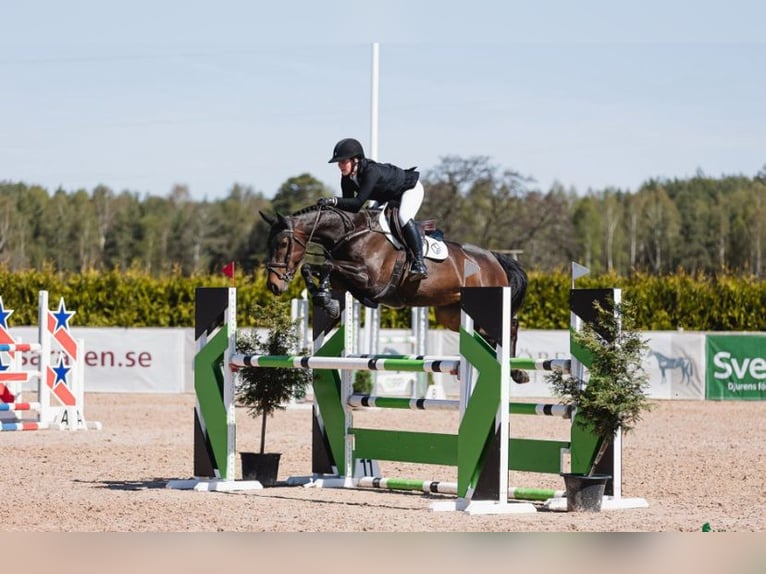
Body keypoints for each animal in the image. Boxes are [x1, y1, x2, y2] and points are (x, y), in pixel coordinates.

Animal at [259, 205, 528, 379]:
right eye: (269, 243)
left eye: (283, 243)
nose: (274, 285)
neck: (351, 233)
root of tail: (493, 258)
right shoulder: (346, 281)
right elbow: (312, 268)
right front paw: (325, 300)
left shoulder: (371, 281)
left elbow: (325, 265)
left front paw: (325, 298)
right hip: (450, 315)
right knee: (487, 335)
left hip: (487, 298)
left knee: (511, 326)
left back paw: (517, 372)